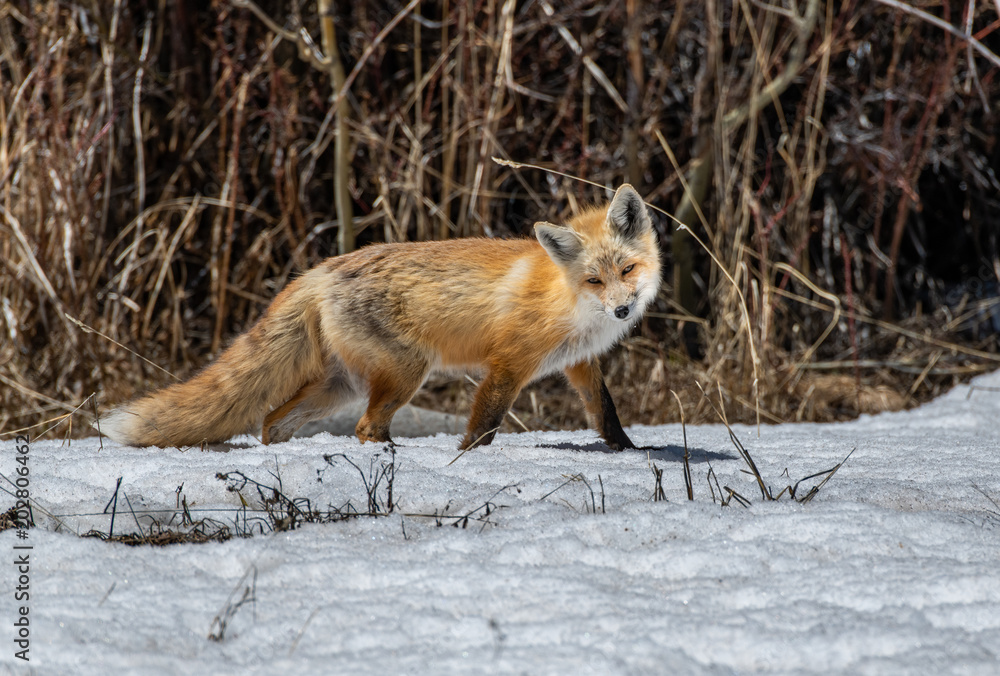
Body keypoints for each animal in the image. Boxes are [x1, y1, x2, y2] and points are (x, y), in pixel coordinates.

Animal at [98, 184, 661, 451]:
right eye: (594, 280)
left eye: (627, 270)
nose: (622, 309)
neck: (566, 299)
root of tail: (320, 269)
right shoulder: (507, 365)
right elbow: (484, 426)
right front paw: (466, 461)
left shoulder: (580, 363)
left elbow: (605, 413)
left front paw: (627, 452)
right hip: (406, 374)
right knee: (365, 427)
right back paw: (394, 457)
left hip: (339, 386)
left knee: (273, 421)